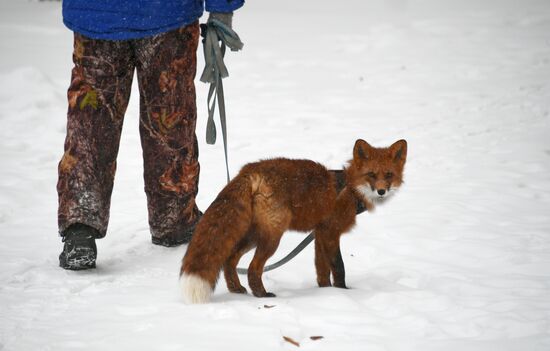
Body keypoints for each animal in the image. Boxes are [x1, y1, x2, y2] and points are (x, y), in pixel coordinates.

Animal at [179, 139, 408, 304]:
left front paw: (326, 293)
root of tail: (249, 171)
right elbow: (339, 267)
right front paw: (344, 293)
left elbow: (322, 271)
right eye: (371, 175)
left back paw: (237, 289)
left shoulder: (319, 234)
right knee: (253, 267)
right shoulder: (331, 232)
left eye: (389, 175)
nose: (381, 191)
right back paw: (262, 295)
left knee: (229, 260)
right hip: (271, 237)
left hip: (253, 235)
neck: (350, 189)